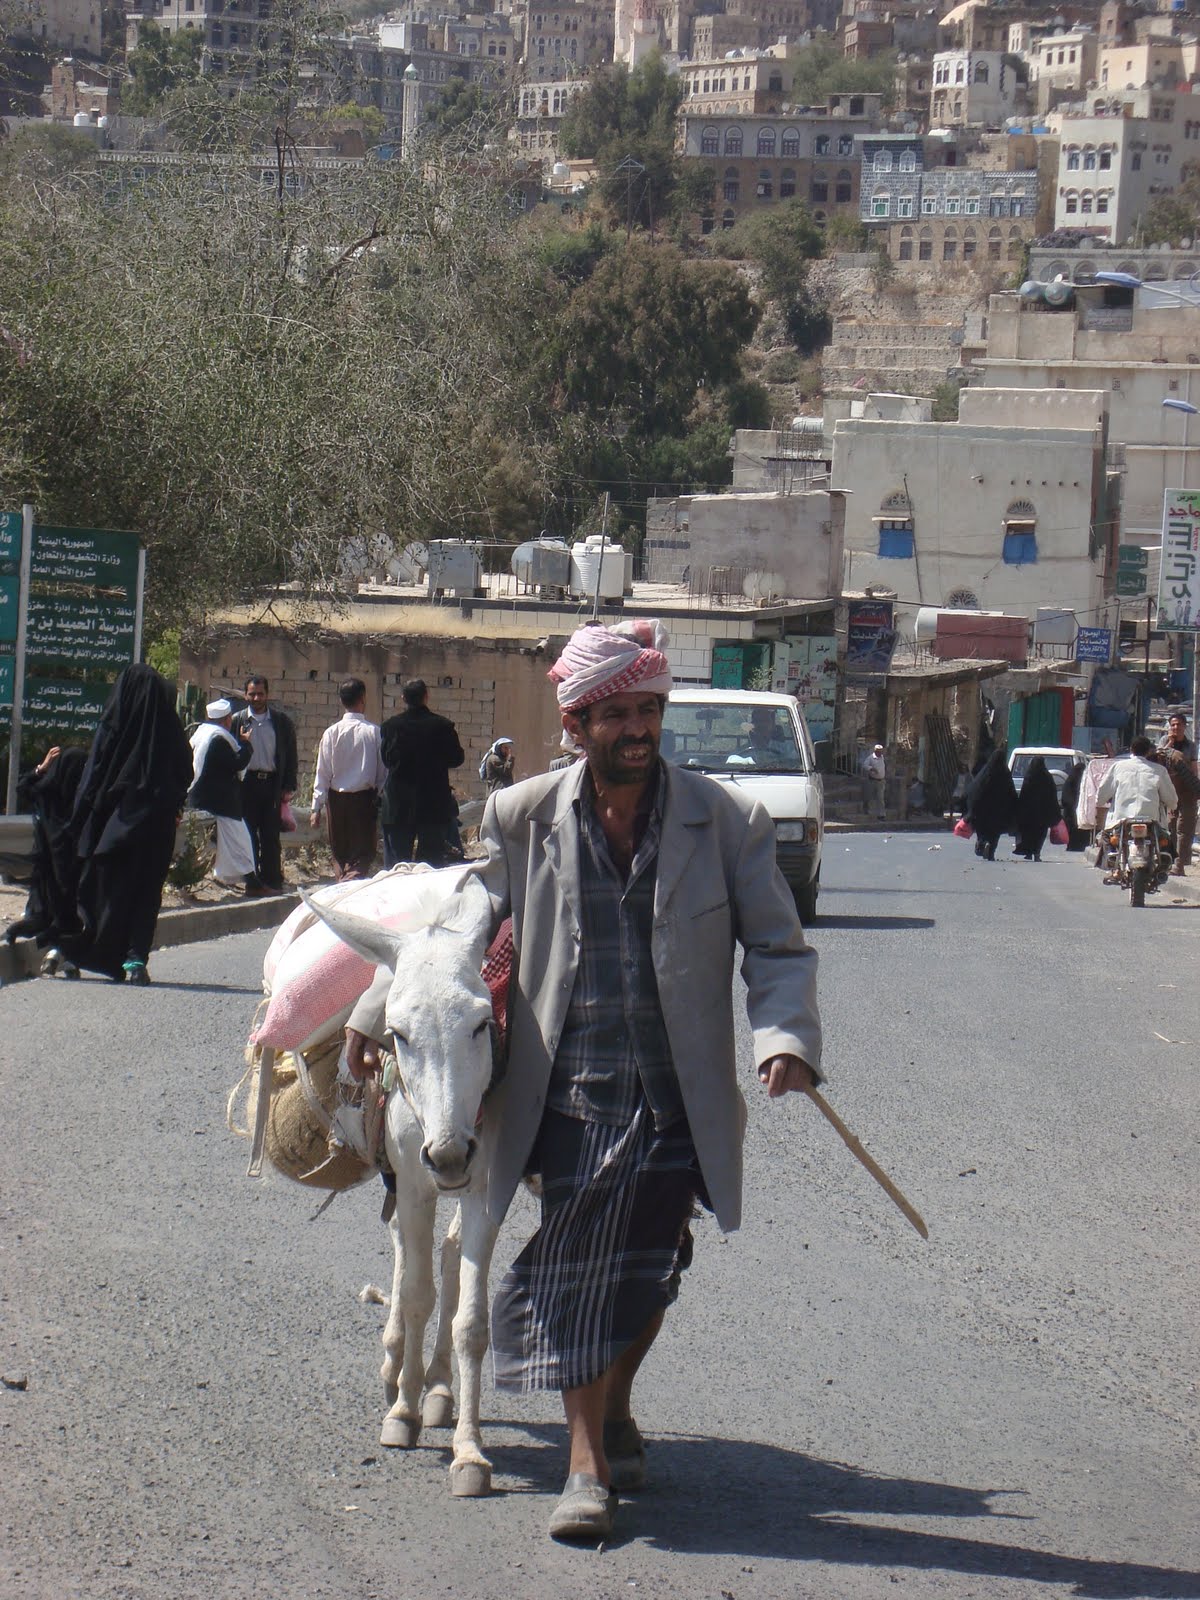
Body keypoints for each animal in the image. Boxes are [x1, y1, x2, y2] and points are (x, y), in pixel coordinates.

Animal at [306, 874, 502, 1497]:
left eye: (482, 1023)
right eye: (397, 1033)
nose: (449, 1154)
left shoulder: (486, 1185)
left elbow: (470, 1320)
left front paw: (469, 1452)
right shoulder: (415, 1184)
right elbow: (416, 1295)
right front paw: (403, 1414)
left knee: (447, 1254)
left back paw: (437, 1386)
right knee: (404, 1251)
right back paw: (398, 1370)